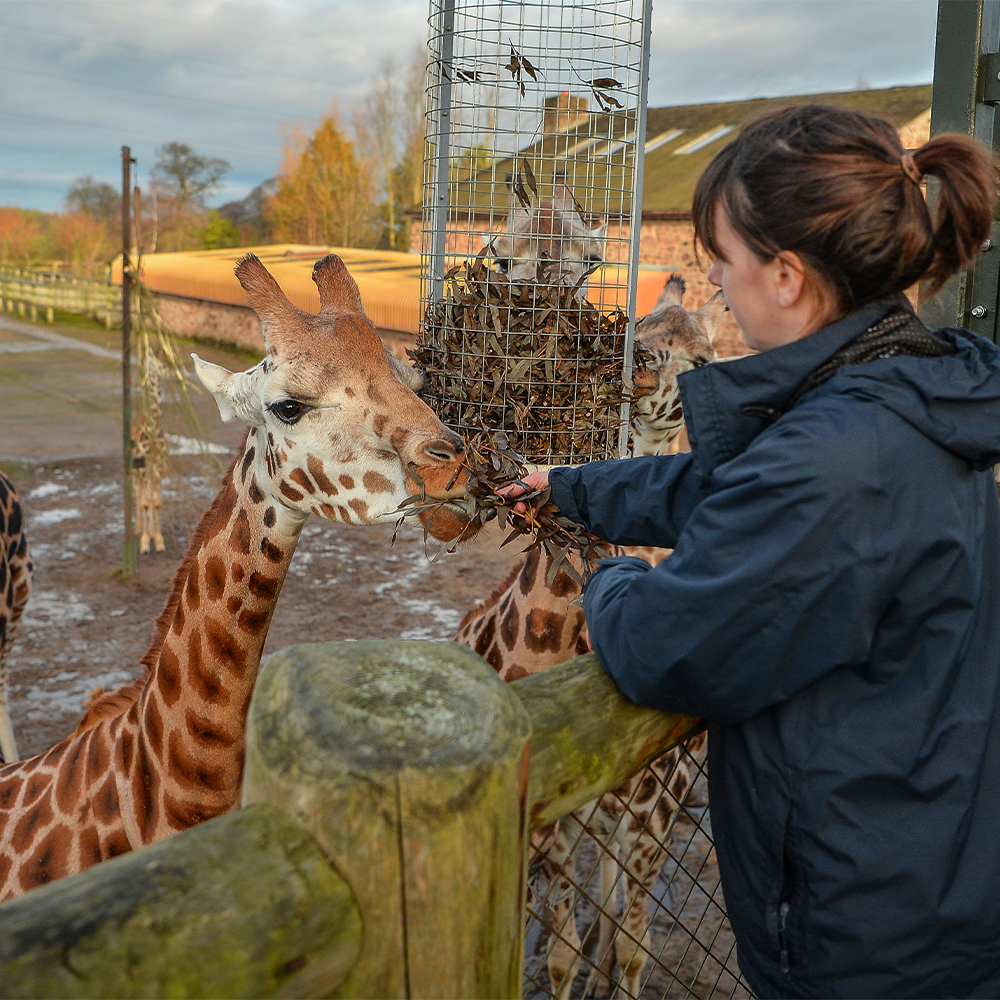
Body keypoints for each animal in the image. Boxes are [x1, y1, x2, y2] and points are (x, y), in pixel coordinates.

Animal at [456, 272, 728, 992]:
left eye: (703, 359)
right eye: (638, 326)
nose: (640, 366)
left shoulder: (652, 816)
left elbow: (632, 948)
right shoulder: (552, 823)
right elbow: (558, 953)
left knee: (615, 919)